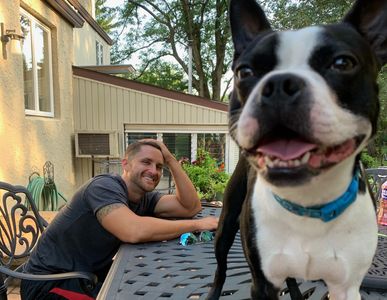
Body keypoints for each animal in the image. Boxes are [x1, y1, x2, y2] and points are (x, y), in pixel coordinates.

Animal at [209, 0, 387, 300]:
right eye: (245, 72)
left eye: (342, 63)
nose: (279, 84)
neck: (308, 202)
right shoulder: (262, 284)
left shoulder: (346, 287)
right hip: (226, 226)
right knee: (220, 268)